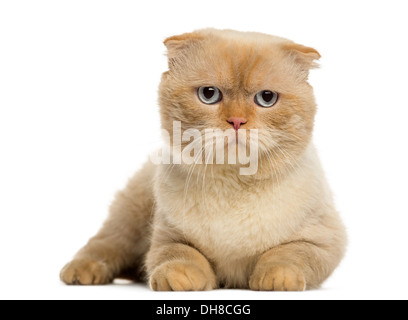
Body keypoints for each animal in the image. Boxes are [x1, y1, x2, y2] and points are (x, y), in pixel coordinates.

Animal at [59, 28, 348, 292]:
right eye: (209, 94)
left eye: (266, 98)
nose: (237, 121)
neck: (234, 184)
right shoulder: (167, 237)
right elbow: (179, 256)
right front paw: (181, 280)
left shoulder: (322, 241)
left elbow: (286, 255)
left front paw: (277, 280)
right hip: (130, 218)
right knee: (104, 244)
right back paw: (79, 272)